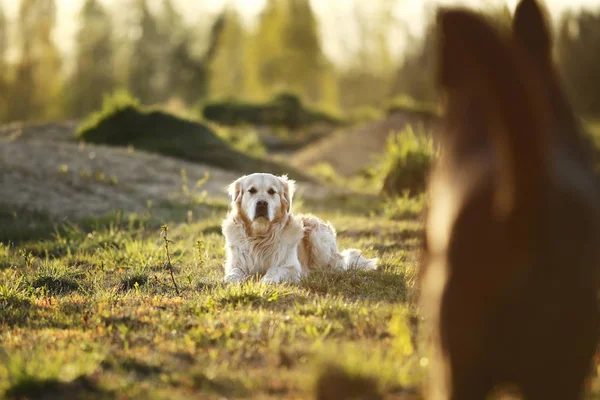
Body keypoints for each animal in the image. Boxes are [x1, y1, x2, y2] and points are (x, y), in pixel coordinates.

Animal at [223, 173, 378, 284]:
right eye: (252, 190)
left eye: (272, 191)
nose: (261, 203)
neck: (260, 236)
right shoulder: (236, 263)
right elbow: (234, 272)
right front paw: (229, 280)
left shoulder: (291, 267)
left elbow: (275, 270)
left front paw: (266, 281)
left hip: (316, 235)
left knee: (334, 265)